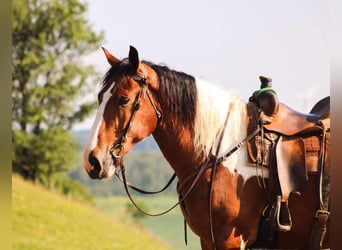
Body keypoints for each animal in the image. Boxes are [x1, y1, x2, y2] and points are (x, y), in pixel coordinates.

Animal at [82, 46, 328, 249]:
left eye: (123, 99)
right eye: (99, 97)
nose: (92, 161)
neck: (217, 154)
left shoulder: (229, 238)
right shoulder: (208, 239)